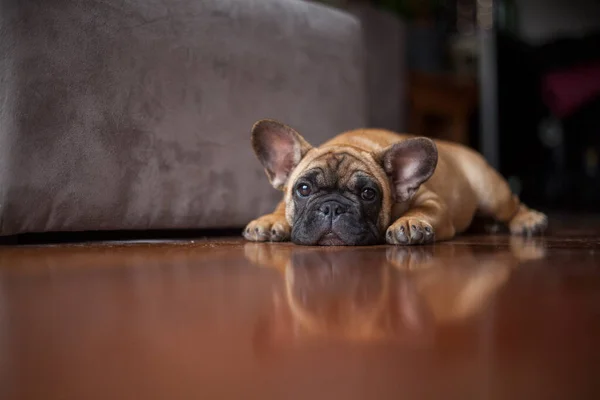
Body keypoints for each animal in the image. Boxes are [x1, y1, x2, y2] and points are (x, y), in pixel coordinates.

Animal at [241, 119, 548, 245]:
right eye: (303, 189)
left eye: (368, 194)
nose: (332, 208)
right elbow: (280, 208)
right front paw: (269, 221)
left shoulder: (431, 202)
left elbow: (423, 210)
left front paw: (410, 224)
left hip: (490, 192)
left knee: (513, 205)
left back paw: (528, 220)